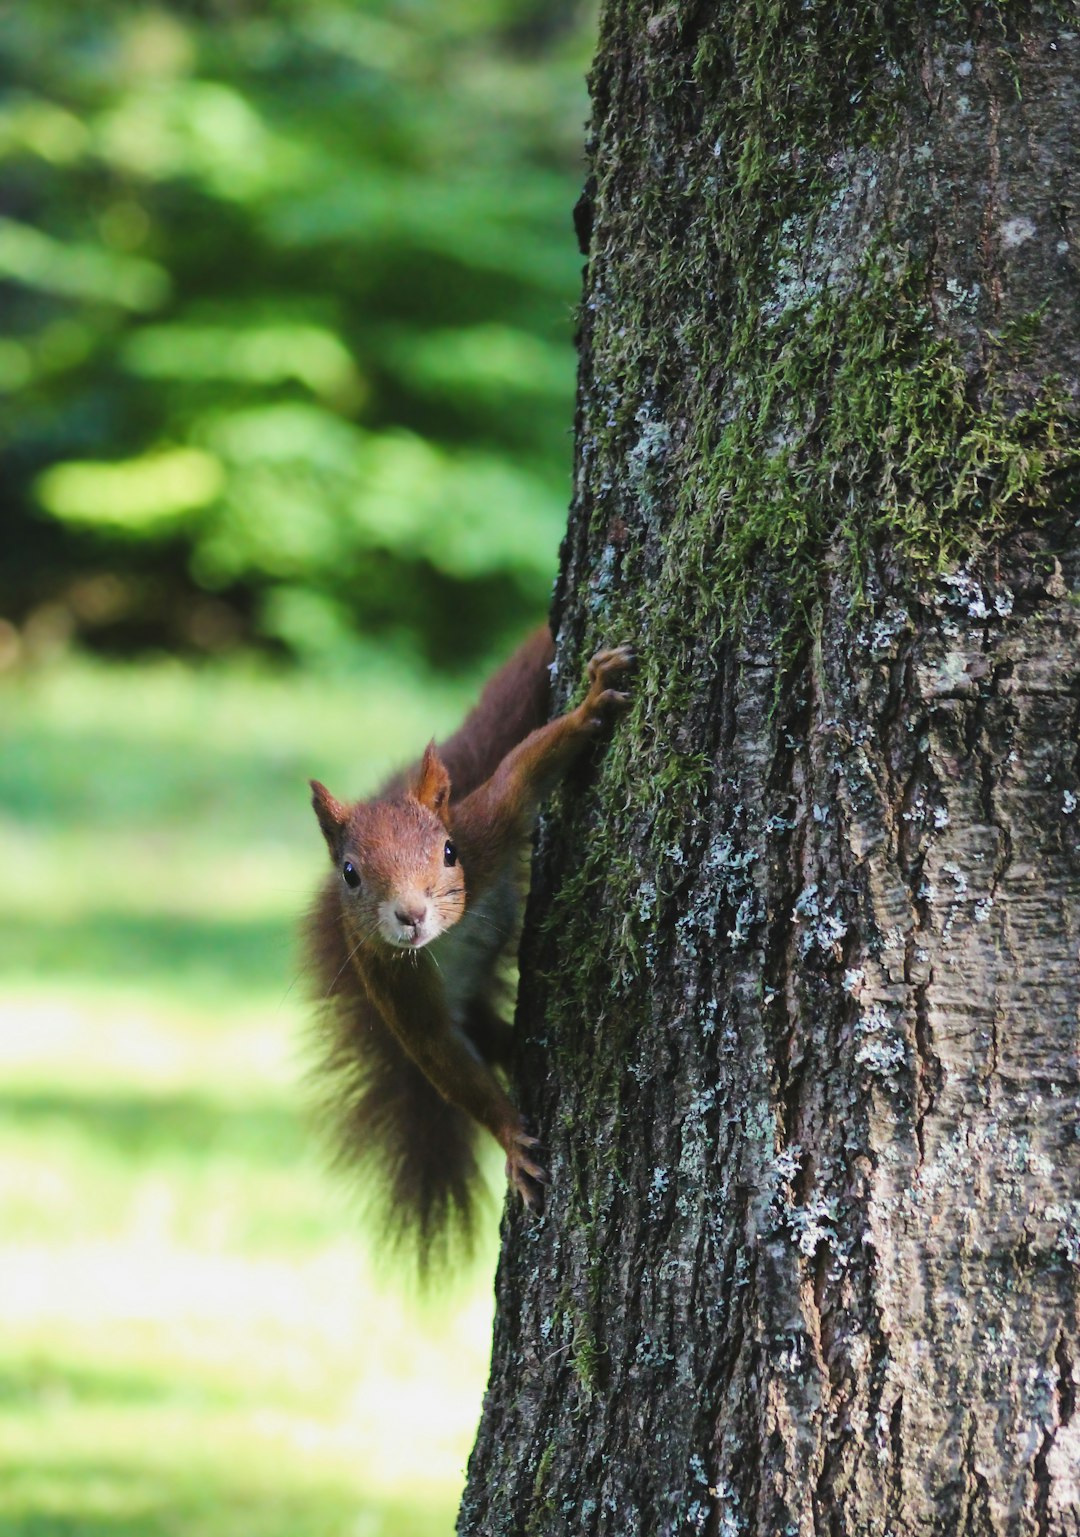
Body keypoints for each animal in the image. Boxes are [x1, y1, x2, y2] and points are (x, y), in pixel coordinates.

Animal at [302, 627, 632, 1260]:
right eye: (350, 874)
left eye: (448, 852)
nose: (410, 915)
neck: (444, 939)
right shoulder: (391, 980)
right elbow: (443, 1057)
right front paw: (511, 1138)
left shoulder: (486, 829)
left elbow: (521, 773)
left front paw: (589, 706)